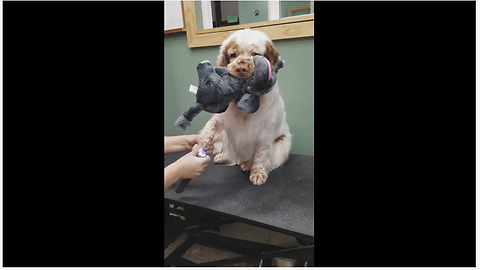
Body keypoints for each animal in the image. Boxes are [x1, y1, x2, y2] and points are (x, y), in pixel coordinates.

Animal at [199, 29, 292, 186]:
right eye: (232, 54)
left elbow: (260, 154)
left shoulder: (265, 132)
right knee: (232, 155)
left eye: (255, 54)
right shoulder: (221, 119)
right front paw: (203, 141)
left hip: (283, 144)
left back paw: (247, 165)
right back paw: (223, 157)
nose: (241, 68)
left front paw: (257, 173)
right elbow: (210, 125)